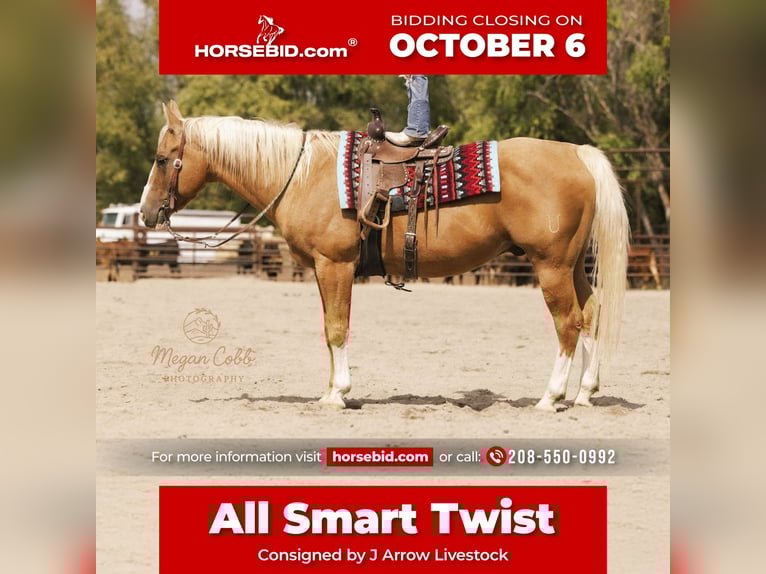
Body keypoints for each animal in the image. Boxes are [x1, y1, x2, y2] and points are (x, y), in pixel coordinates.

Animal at [140, 101, 630, 412]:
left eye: (163, 159)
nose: (146, 213)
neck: (302, 175)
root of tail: (578, 155)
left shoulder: (335, 265)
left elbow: (337, 329)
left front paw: (338, 394)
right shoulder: (324, 269)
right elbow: (328, 329)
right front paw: (329, 391)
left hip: (550, 266)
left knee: (568, 322)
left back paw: (550, 398)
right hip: (572, 265)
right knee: (591, 314)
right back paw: (584, 392)